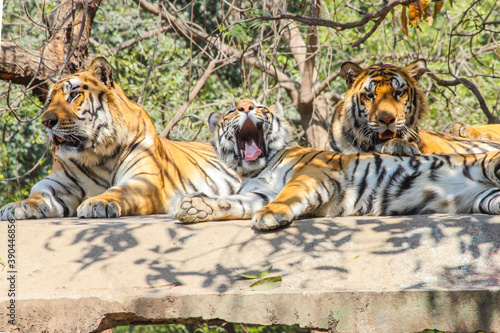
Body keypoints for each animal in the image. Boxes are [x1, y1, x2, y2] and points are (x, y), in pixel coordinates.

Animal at [0, 56, 242, 220]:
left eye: (74, 95)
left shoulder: (144, 179)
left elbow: (120, 191)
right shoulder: (59, 184)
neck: (97, 154)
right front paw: (17, 206)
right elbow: (39, 194)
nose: (47, 122)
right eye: (50, 101)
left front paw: (98, 203)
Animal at [176, 97, 500, 230]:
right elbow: (232, 202)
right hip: (488, 199)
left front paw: (269, 216)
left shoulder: (311, 172)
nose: (245, 107)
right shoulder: (259, 192)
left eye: (259, 107)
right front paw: (195, 207)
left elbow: (287, 195)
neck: (257, 168)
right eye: (232, 110)